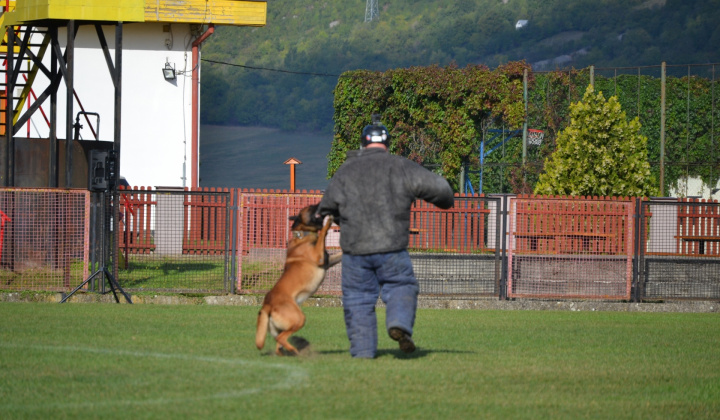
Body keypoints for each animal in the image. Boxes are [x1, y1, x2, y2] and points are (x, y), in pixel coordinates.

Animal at [255, 203, 342, 354]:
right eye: (311, 206)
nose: (321, 203)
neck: (303, 235)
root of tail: (267, 305)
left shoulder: (327, 262)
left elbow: (340, 253)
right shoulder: (318, 257)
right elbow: (323, 234)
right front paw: (328, 223)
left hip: (281, 327)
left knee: (278, 342)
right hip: (299, 318)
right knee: (281, 338)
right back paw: (295, 352)